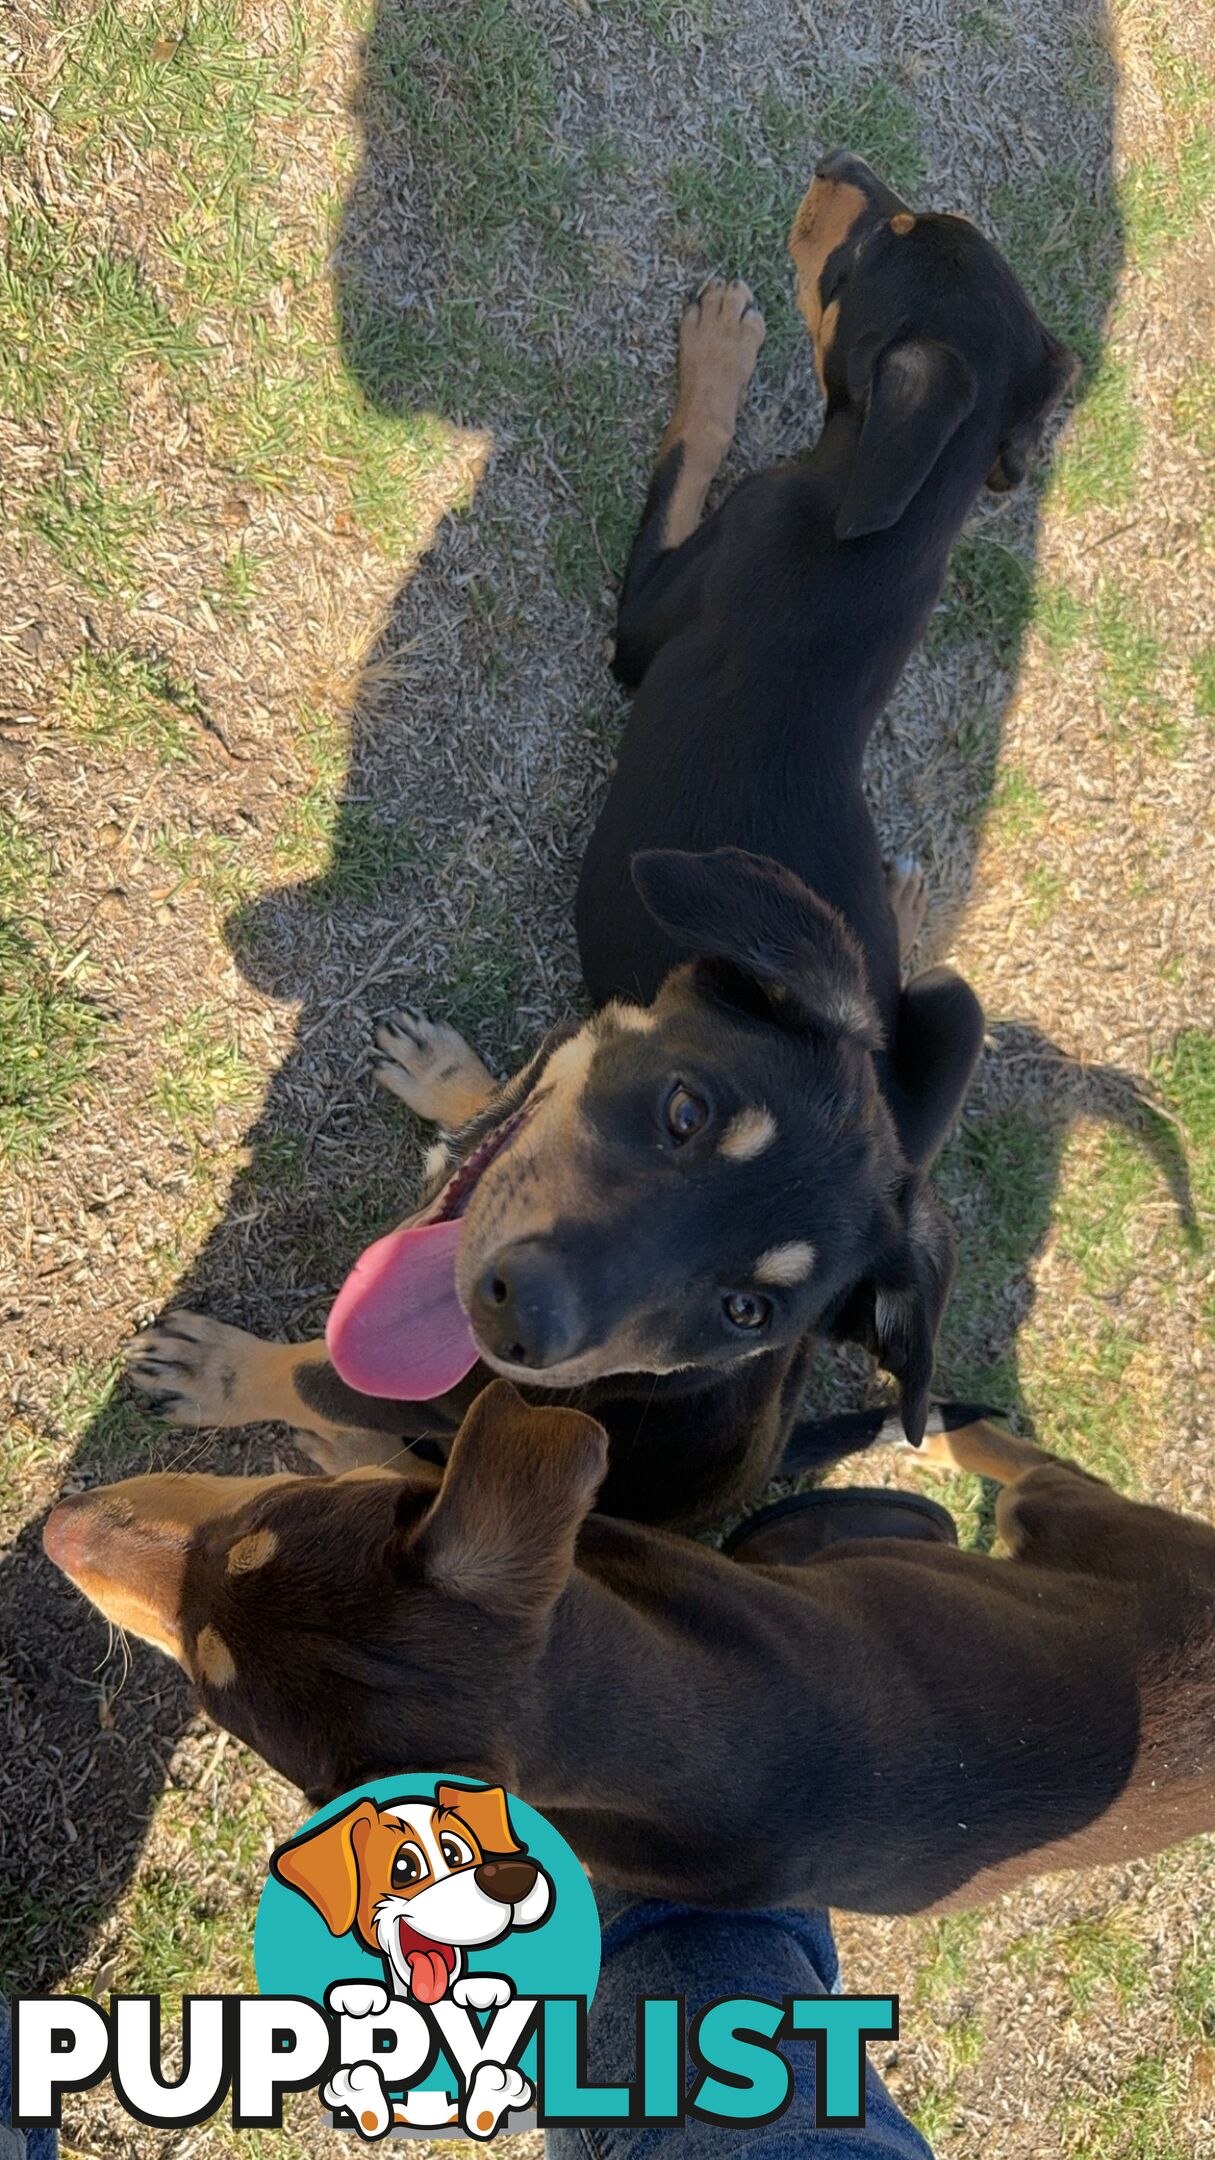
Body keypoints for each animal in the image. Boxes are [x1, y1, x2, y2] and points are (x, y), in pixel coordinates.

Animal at [42, 1382, 1210, 1909]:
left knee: (1024, 1464)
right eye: (262, 1519)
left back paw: (935, 1431)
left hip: (1071, 1518)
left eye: (209, 1692)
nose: (58, 1528)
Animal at [125, 156, 1067, 1537]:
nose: (839, 166)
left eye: (748, 1310)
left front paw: (218, 1373)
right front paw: (453, 1082)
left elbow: (687, 452)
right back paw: (904, 893)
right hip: (953, 1005)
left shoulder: (649, 610)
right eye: (684, 1111)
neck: (886, 535)